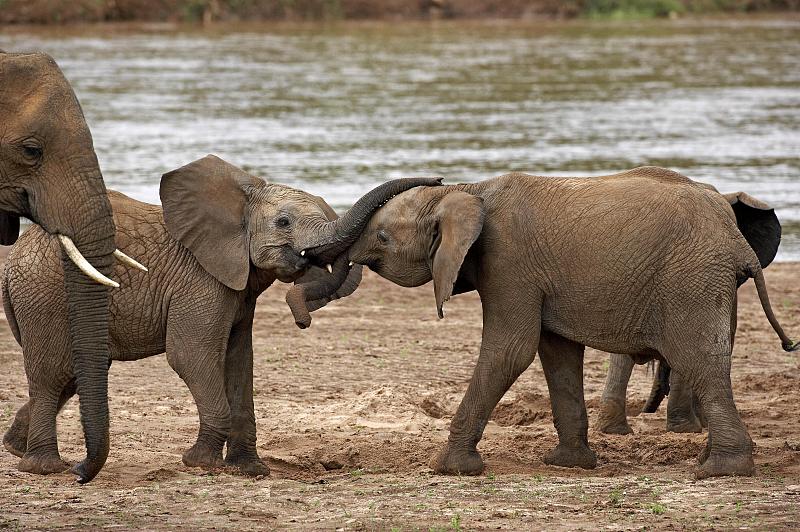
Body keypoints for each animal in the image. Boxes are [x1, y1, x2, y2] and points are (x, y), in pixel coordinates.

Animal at [3, 155, 438, 478]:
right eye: (283, 222)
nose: (438, 177)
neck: (240, 201)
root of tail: (16, 259)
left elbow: (239, 360)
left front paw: (250, 470)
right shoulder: (201, 279)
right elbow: (191, 354)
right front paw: (200, 463)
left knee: (73, 374)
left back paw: (16, 447)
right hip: (42, 294)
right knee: (54, 371)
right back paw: (45, 467)